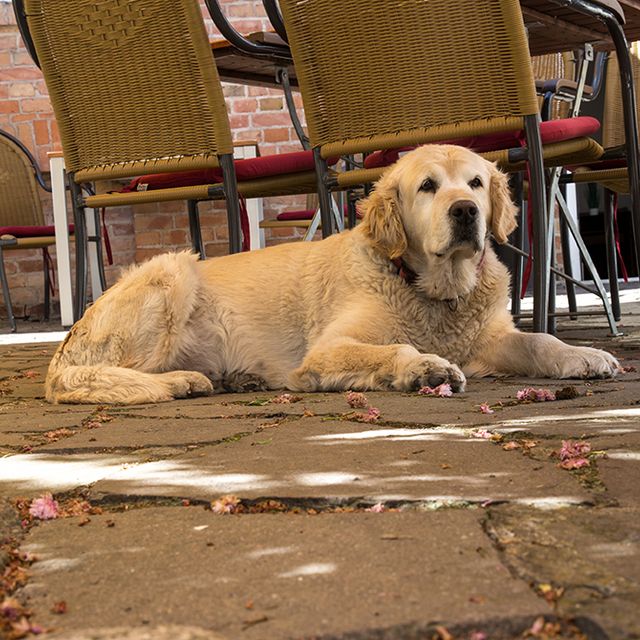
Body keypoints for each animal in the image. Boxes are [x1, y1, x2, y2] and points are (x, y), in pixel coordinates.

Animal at [43, 146, 616, 404]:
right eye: (428, 186)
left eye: (475, 182)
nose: (465, 212)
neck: (433, 290)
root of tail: (69, 339)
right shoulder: (328, 348)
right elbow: (395, 347)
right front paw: (425, 367)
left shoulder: (488, 336)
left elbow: (541, 339)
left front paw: (586, 356)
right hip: (173, 269)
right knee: (101, 376)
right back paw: (183, 381)